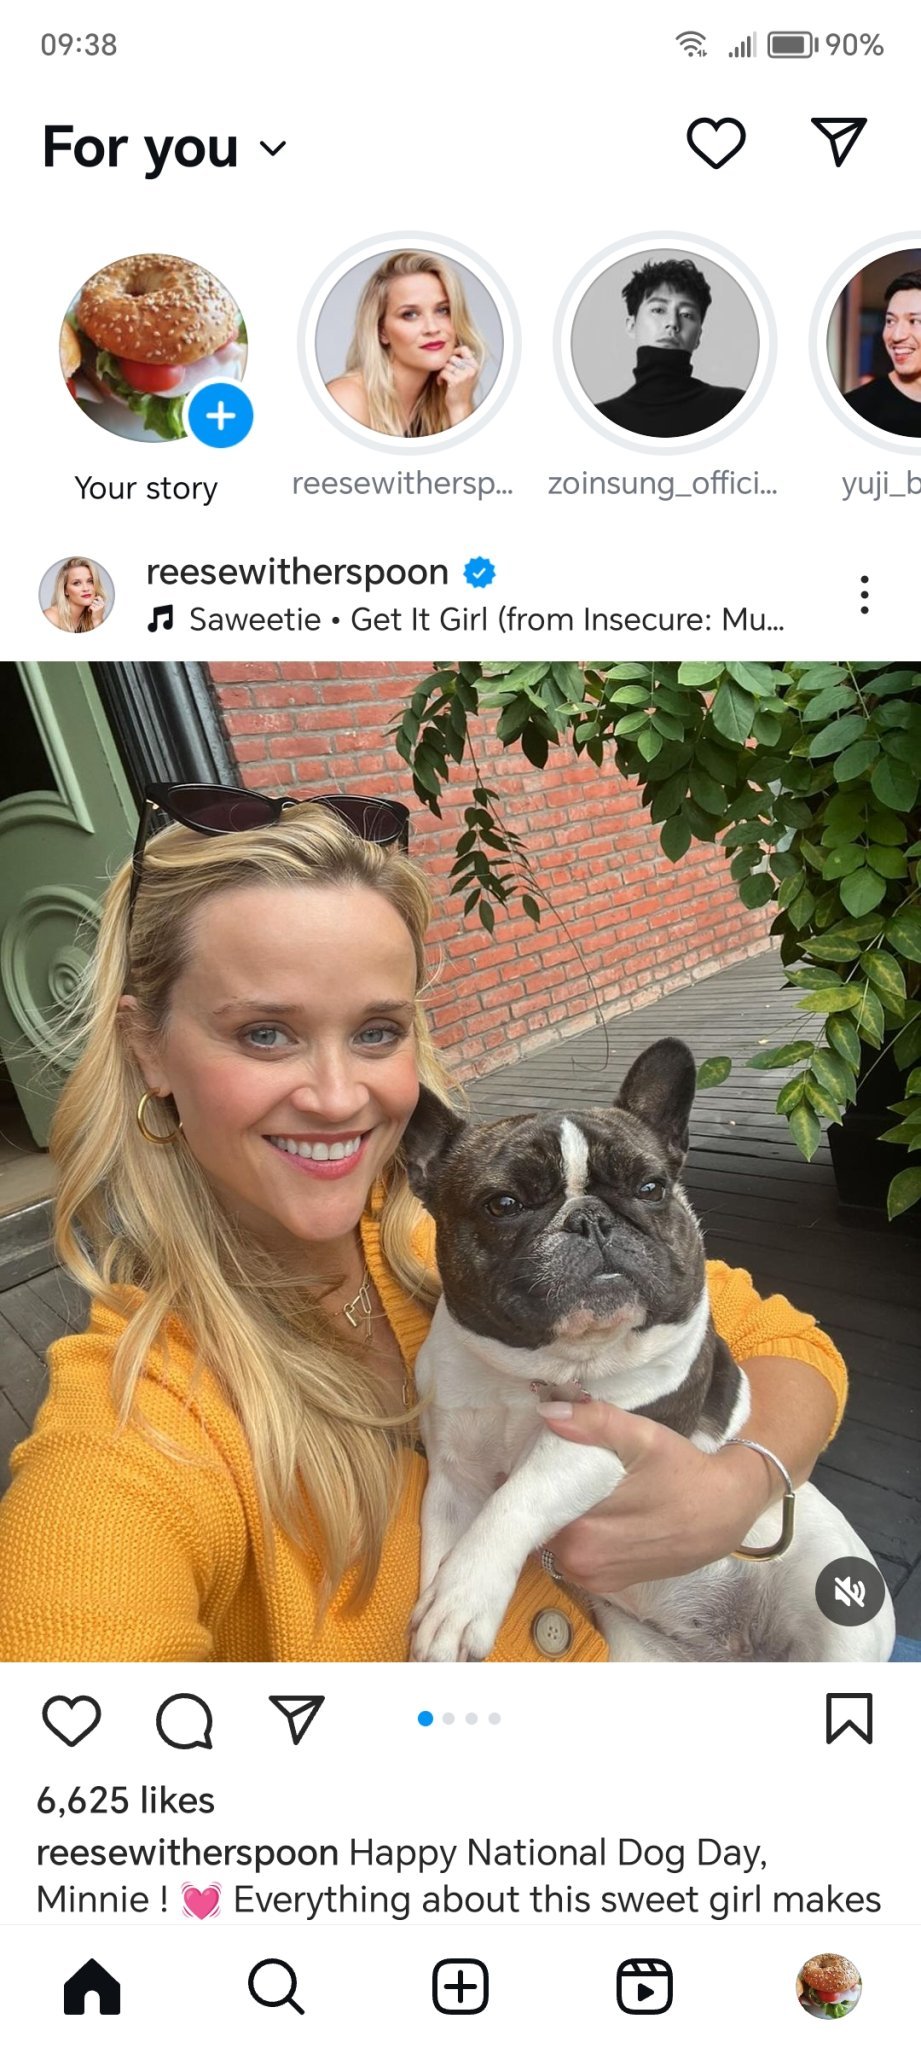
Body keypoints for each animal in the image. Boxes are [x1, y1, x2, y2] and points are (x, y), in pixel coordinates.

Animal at [402, 1038, 895, 1663]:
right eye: (504, 1204)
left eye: (651, 1188)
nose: (590, 1219)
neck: (539, 1371)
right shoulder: (455, 1477)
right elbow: (446, 1545)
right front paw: (446, 1600)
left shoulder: (610, 1435)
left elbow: (519, 1497)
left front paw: (463, 1597)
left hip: (833, 1591)